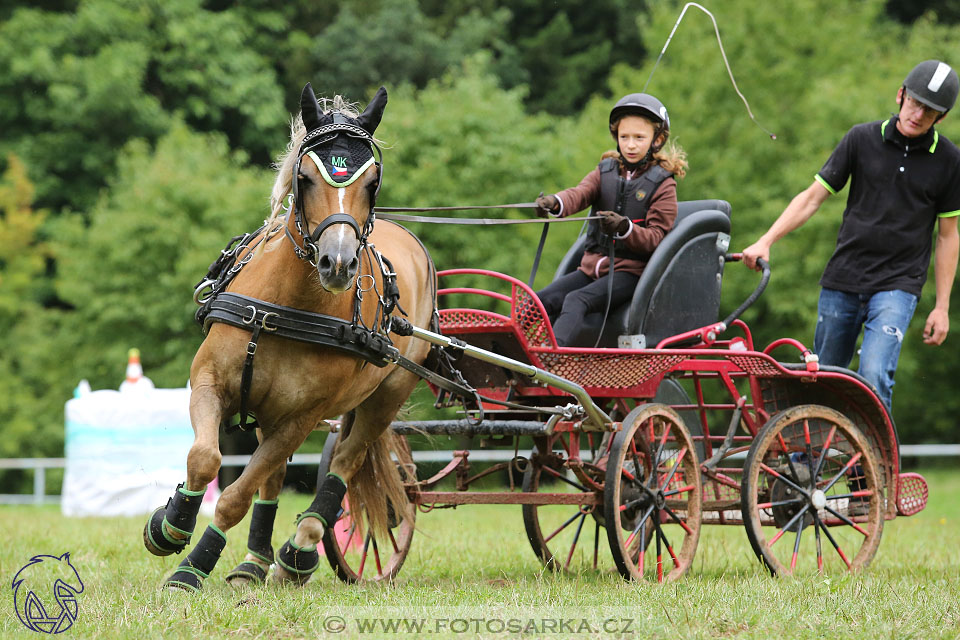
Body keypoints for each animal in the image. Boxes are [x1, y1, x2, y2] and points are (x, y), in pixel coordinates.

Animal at [142, 84, 436, 592]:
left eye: (372, 183)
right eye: (305, 177)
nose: (338, 264)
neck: (288, 306)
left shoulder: (299, 420)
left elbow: (235, 497)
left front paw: (193, 567)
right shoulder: (209, 383)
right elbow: (204, 458)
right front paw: (171, 524)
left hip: (386, 396)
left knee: (345, 463)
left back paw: (299, 550)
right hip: (267, 406)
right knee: (274, 476)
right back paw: (253, 564)